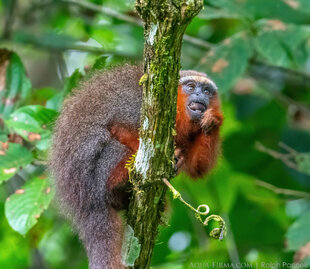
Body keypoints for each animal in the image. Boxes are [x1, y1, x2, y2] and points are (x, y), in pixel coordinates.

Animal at [49, 64, 223, 268]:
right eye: (190, 87)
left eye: (206, 91)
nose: (200, 95)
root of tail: (85, 204)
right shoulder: (135, 105)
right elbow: (120, 128)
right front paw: (172, 156)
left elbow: (197, 167)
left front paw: (212, 121)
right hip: (93, 179)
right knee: (109, 145)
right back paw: (121, 179)